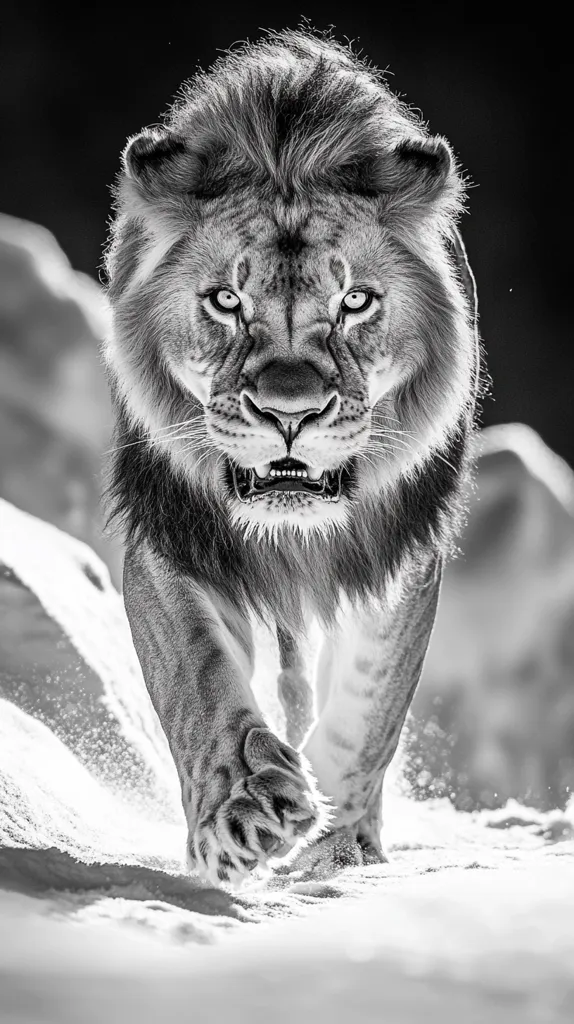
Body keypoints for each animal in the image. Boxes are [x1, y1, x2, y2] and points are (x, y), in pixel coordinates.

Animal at [103, 29, 479, 886]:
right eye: (225, 301)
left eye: (356, 301)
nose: (289, 413)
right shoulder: (172, 530)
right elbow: (198, 676)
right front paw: (243, 807)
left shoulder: (398, 544)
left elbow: (372, 703)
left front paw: (337, 838)